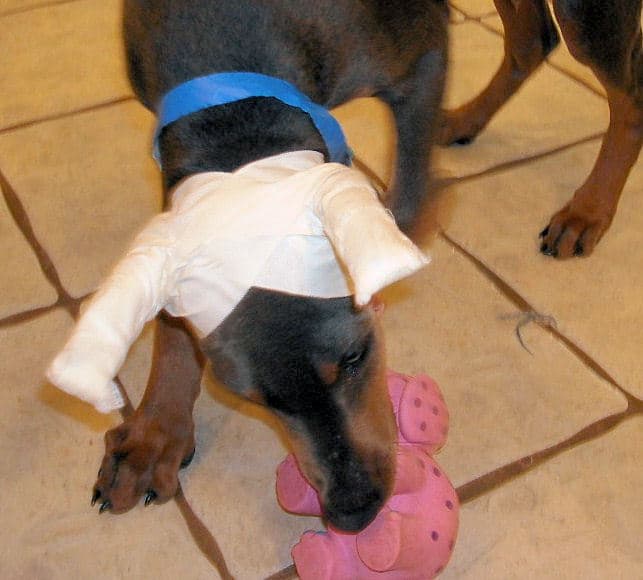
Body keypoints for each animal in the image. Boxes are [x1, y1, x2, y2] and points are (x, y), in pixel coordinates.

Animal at [46, 0, 448, 536]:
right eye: (259, 400)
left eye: (356, 357)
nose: (354, 512)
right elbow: (172, 321)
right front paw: (156, 433)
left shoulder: (421, 57)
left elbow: (408, 200)